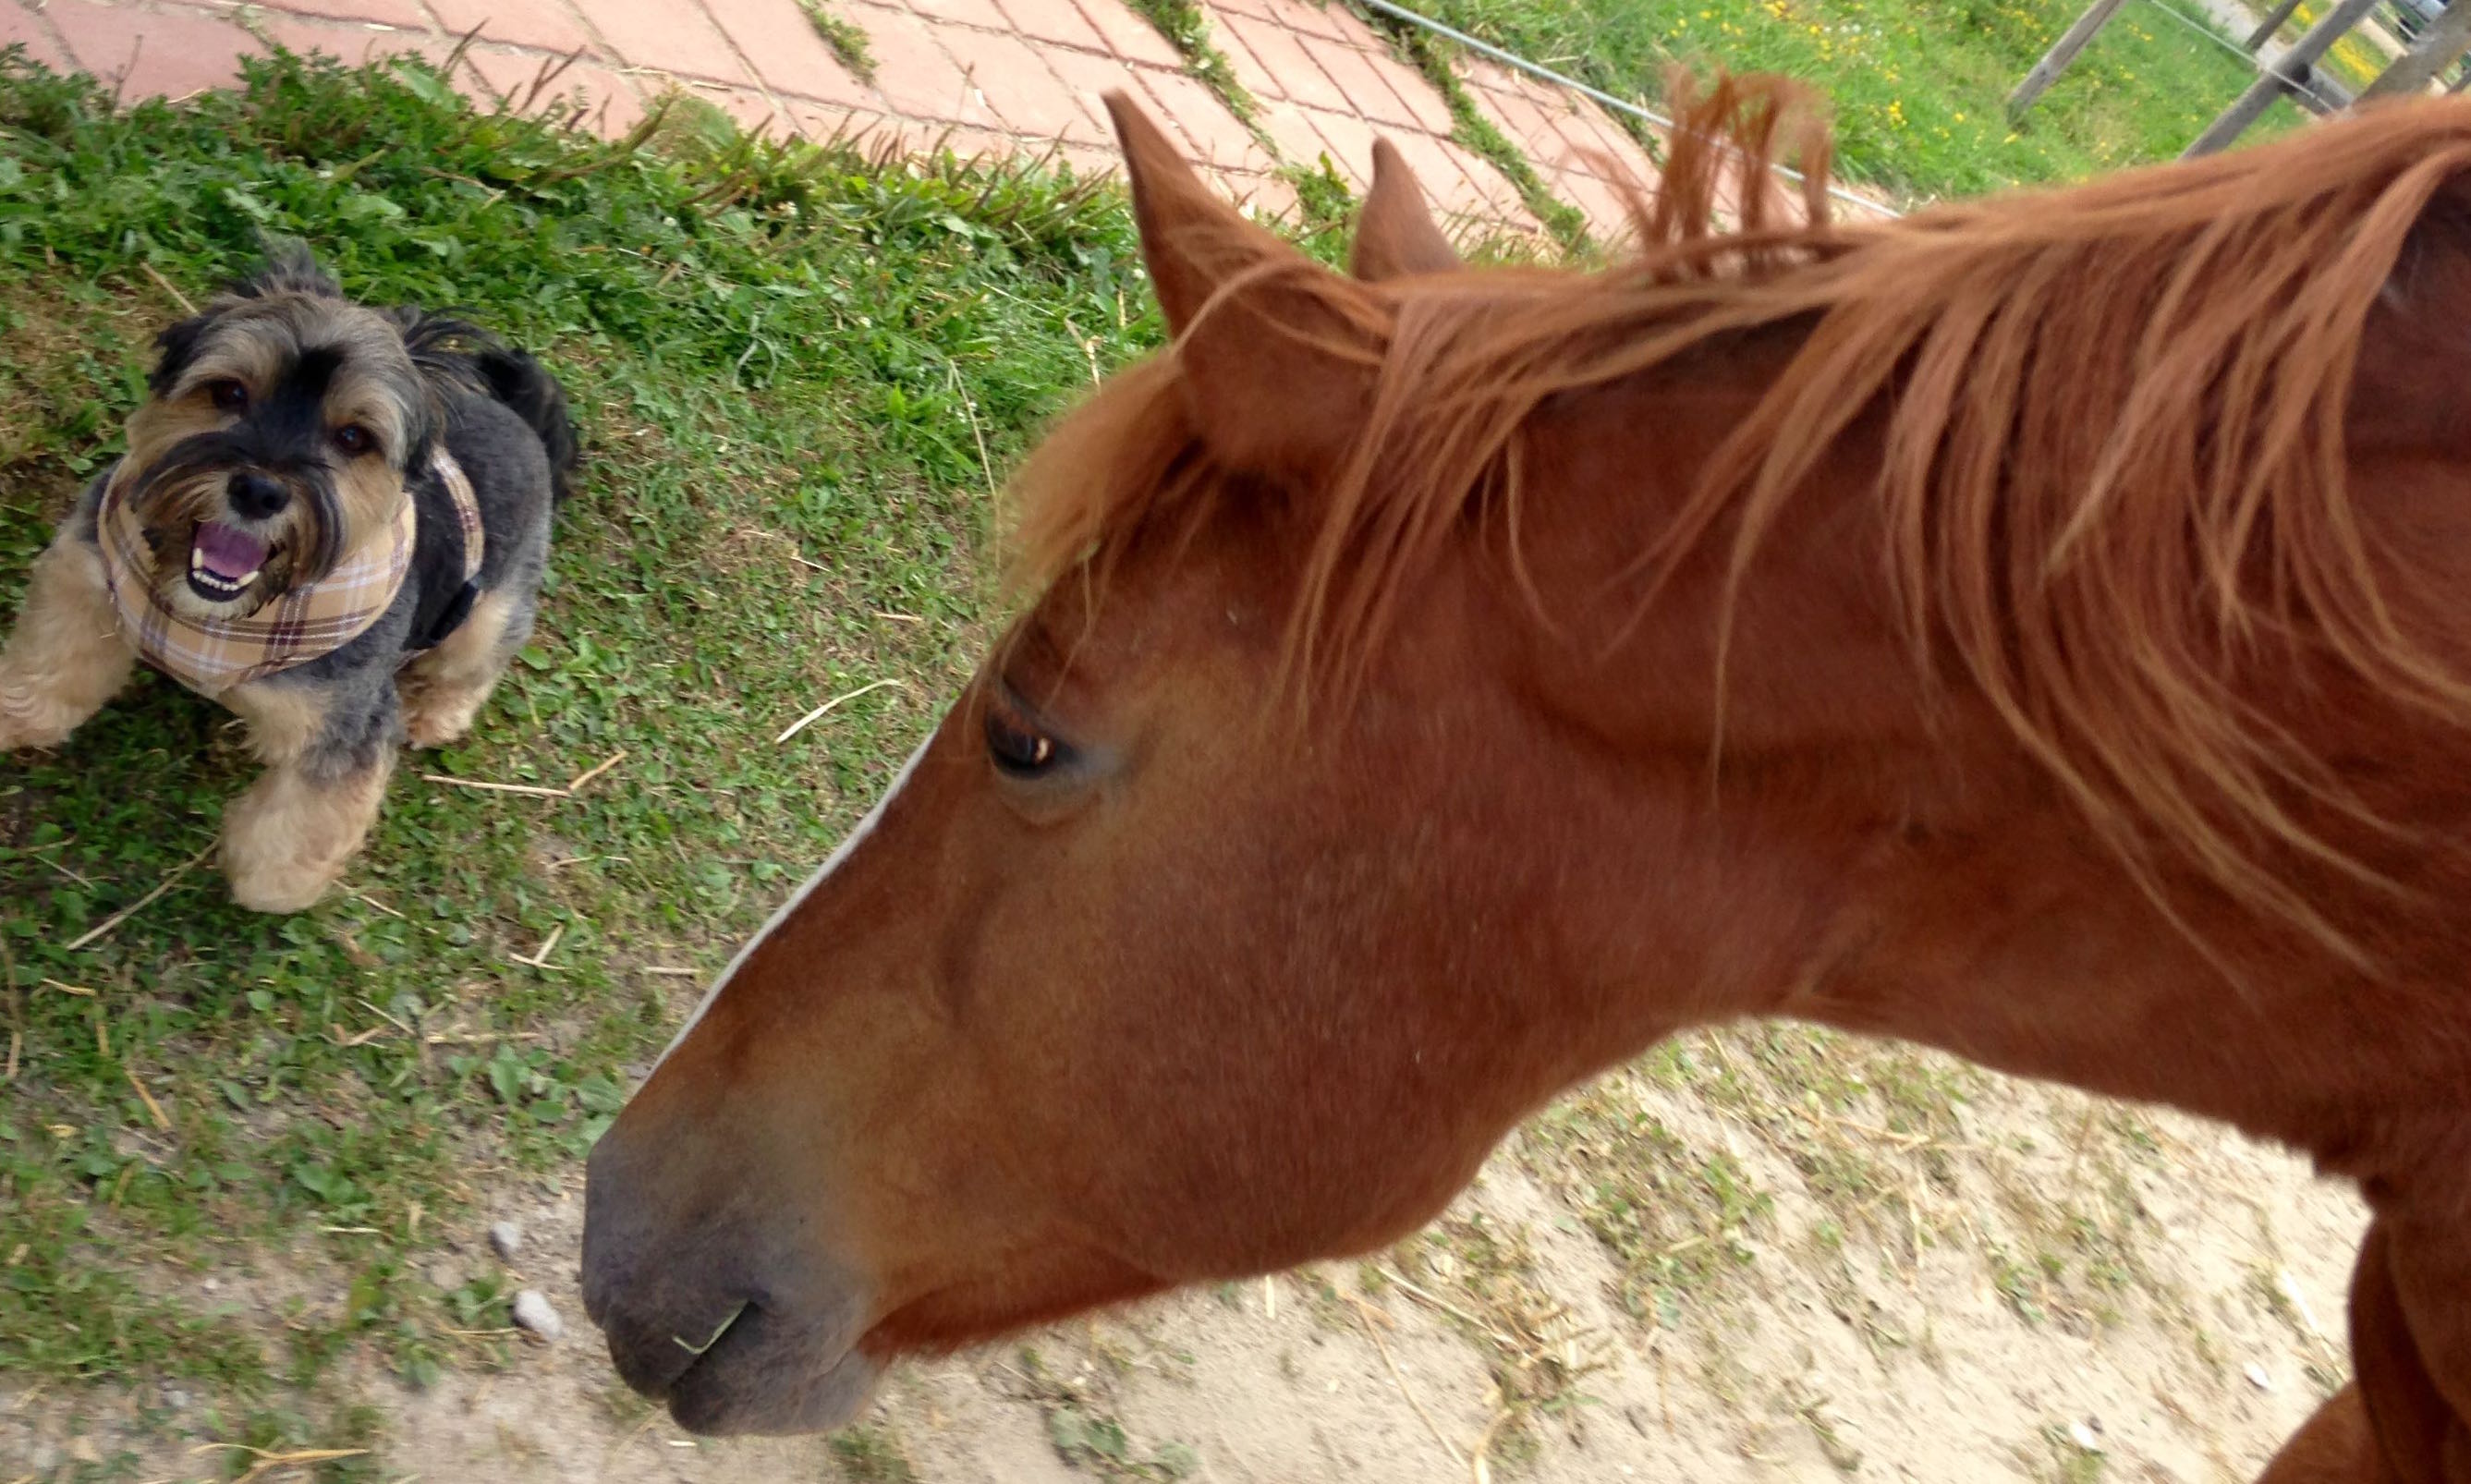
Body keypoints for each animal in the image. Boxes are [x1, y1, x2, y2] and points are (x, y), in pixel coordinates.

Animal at [0, 249, 576, 908]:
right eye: (228, 391)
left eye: (353, 436)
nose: (258, 491)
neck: (218, 618)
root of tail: (526, 425)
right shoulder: (85, 574)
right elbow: (50, 663)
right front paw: (18, 717)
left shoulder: (347, 721)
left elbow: (306, 821)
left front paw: (269, 882)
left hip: (492, 611)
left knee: (475, 664)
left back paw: (435, 712)